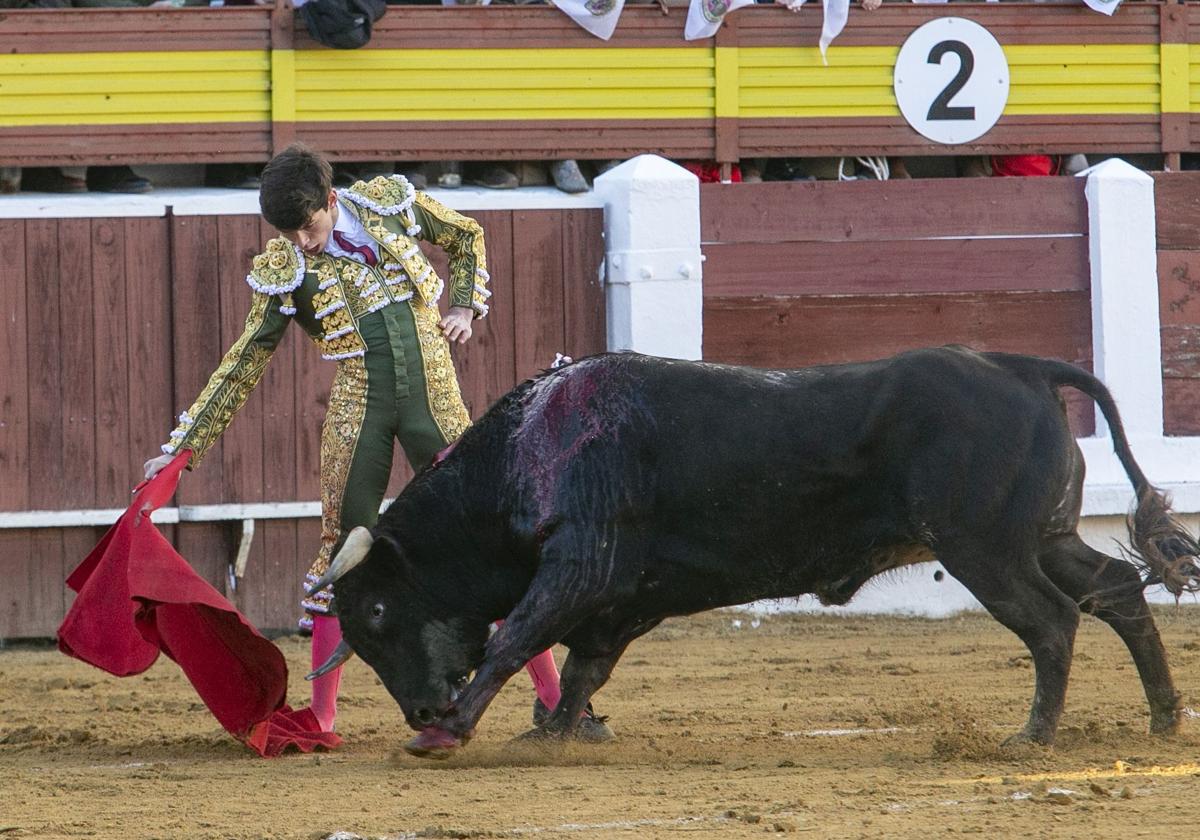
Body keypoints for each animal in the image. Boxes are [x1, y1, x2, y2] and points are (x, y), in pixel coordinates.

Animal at [312, 345, 1200, 758]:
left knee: (1051, 622)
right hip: (1043, 538)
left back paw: (1032, 736)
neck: (534, 447)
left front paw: (453, 733)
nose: (421, 710)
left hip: (985, 548)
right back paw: (1162, 717)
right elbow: (583, 665)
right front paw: (556, 734)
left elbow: (516, 640)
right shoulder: (622, 595)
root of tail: (1017, 366)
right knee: (1116, 591)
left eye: (380, 611)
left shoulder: (580, 567)